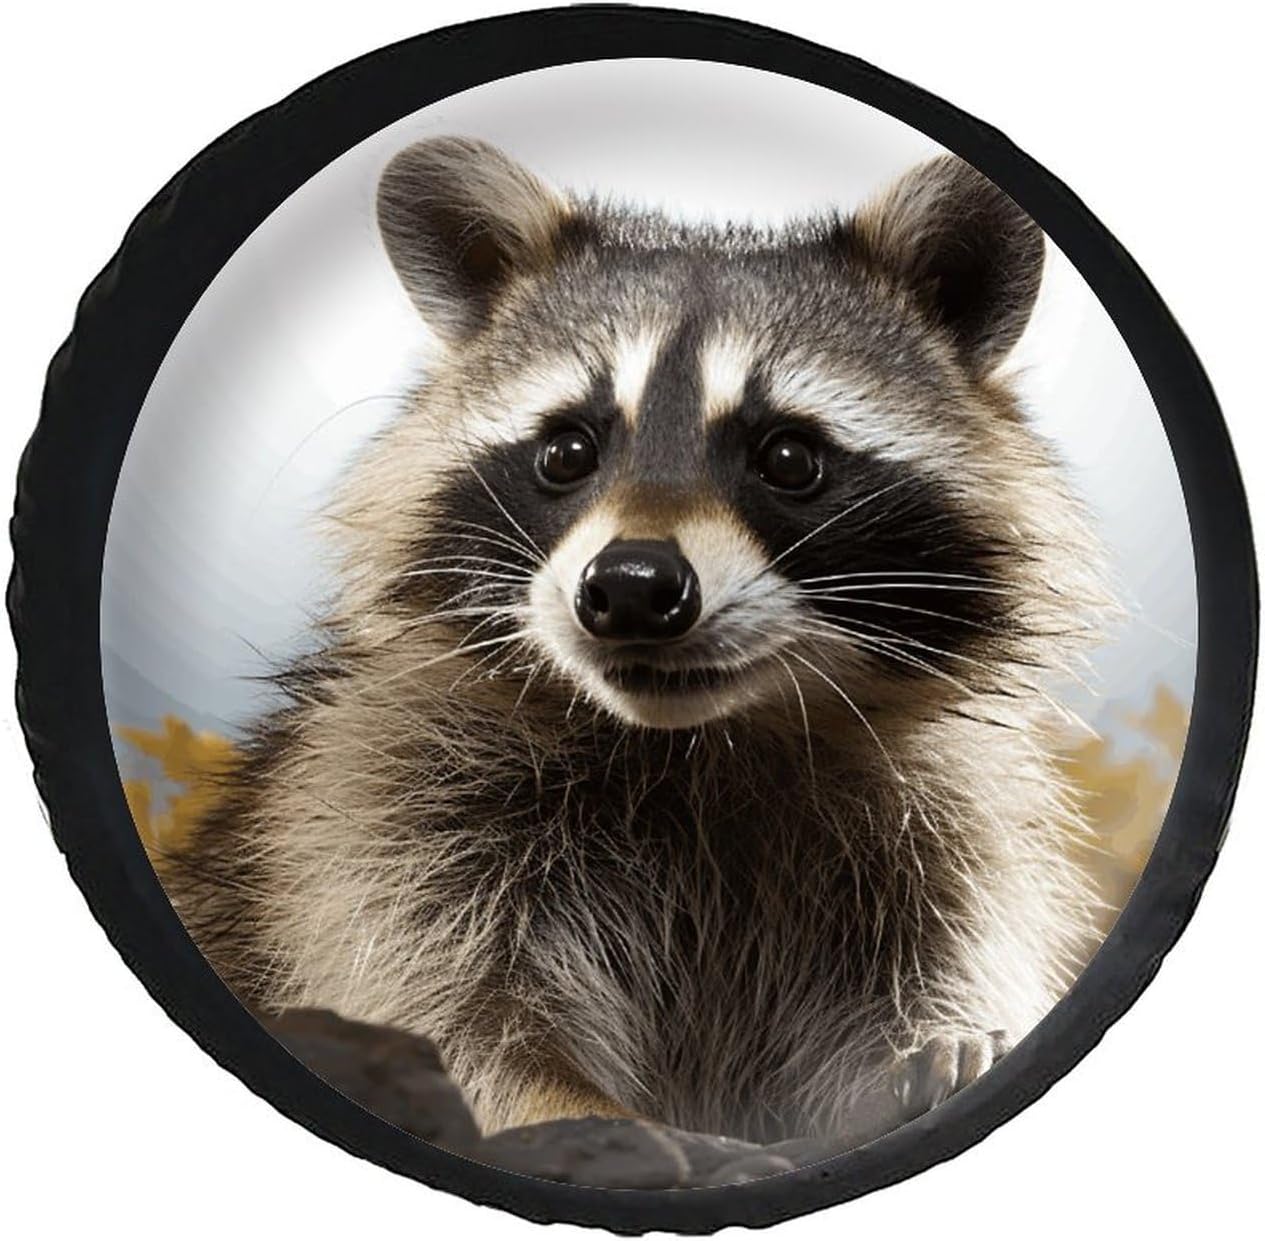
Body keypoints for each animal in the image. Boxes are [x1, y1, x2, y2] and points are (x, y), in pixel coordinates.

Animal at [165, 138, 1112, 1146]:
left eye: (788, 458)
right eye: (566, 451)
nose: (630, 587)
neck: (701, 741)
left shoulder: (940, 842)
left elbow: (930, 976)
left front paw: (934, 1050)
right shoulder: (379, 812)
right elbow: (451, 1012)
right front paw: (578, 1110)